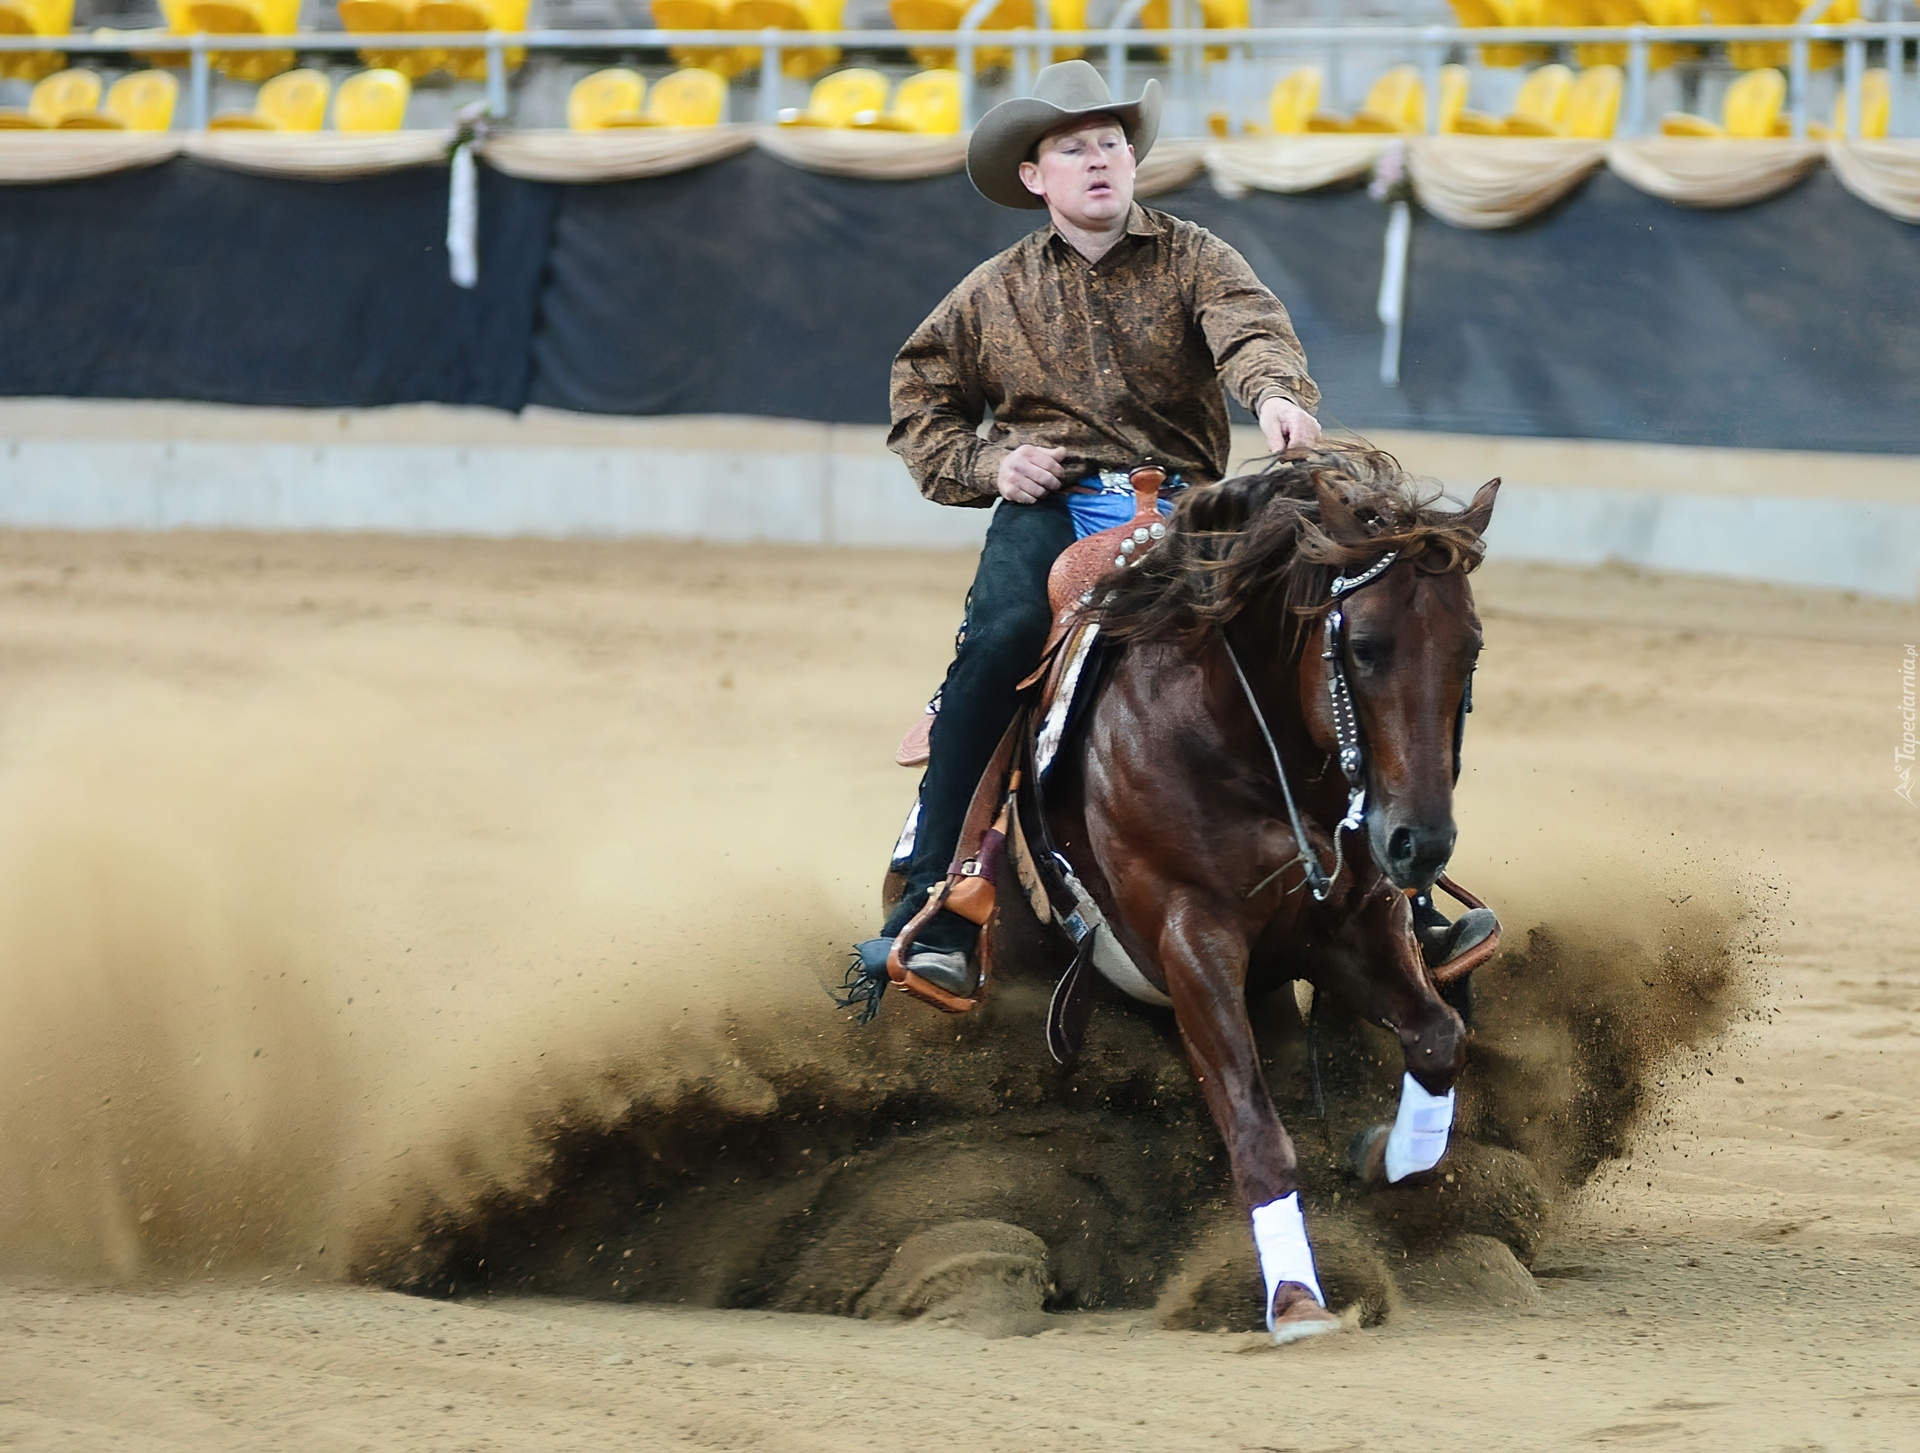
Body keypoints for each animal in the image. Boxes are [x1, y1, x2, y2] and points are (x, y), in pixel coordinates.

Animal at [1036, 447, 1497, 1343]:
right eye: (1365, 646)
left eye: (1470, 650)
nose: (1419, 841)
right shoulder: (1191, 935)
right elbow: (1256, 1128)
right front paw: (1295, 1298)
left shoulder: (1351, 921)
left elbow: (1437, 1038)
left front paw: (1386, 1154)